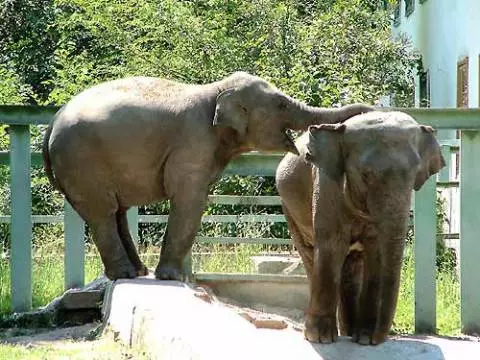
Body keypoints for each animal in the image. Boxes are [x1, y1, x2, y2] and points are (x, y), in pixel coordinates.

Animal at [42, 71, 372, 282]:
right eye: (280, 104)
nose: (368, 109)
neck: (216, 90)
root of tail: (52, 122)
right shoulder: (194, 142)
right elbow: (190, 199)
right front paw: (173, 278)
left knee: (117, 212)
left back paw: (137, 273)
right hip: (82, 162)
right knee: (103, 212)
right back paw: (126, 274)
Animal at [276, 110, 444, 346]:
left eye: (415, 175)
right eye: (365, 175)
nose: (378, 339)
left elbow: (377, 251)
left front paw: (364, 338)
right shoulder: (327, 182)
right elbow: (332, 243)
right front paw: (321, 339)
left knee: (352, 267)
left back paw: (349, 331)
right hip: (289, 210)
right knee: (311, 257)